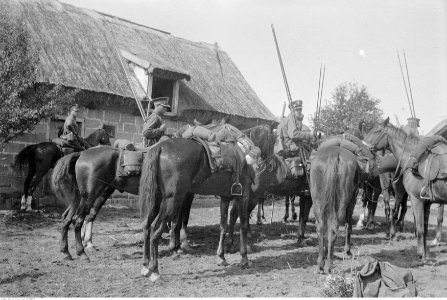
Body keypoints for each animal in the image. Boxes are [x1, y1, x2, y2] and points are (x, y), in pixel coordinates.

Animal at [312, 145, 360, 274]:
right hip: (343, 201)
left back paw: (320, 264)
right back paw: (329, 265)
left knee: (320, 227)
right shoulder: (352, 201)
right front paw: (347, 251)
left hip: (317, 200)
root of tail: (334, 153)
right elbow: (349, 226)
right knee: (334, 229)